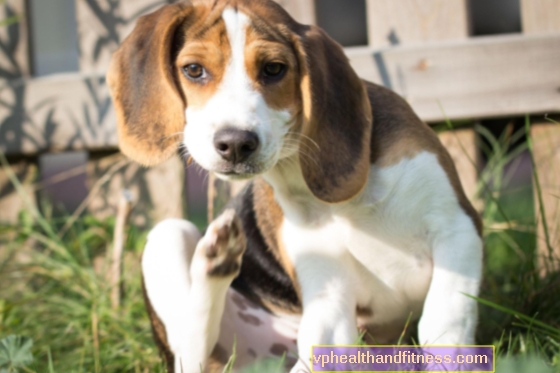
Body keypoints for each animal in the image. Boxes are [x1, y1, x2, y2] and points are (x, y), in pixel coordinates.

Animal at [107, 0, 484, 372]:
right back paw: (215, 260)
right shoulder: (329, 291)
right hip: (167, 236)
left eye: (274, 69)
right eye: (194, 70)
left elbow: (443, 322)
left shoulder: (458, 230)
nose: (235, 143)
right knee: (190, 353)